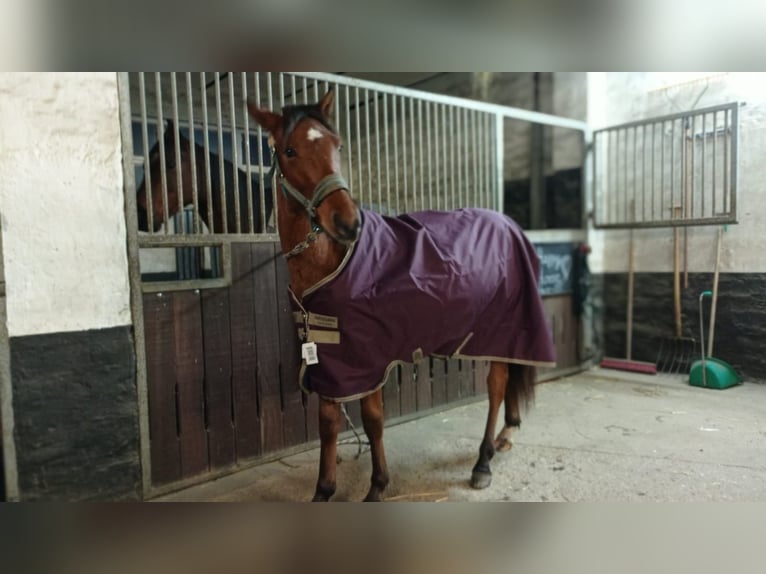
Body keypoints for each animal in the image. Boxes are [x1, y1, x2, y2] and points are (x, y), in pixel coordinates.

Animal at [246, 92, 552, 502]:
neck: (333, 261)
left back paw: (483, 461)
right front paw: (324, 490)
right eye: (290, 151)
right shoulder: (329, 356)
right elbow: (328, 422)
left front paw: (377, 486)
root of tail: (511, 226)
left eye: (337, 145)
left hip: (498, 331)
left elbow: (373, 421)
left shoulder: (369, 356)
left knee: (496, 387)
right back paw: (506, 435)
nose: (348, 223)